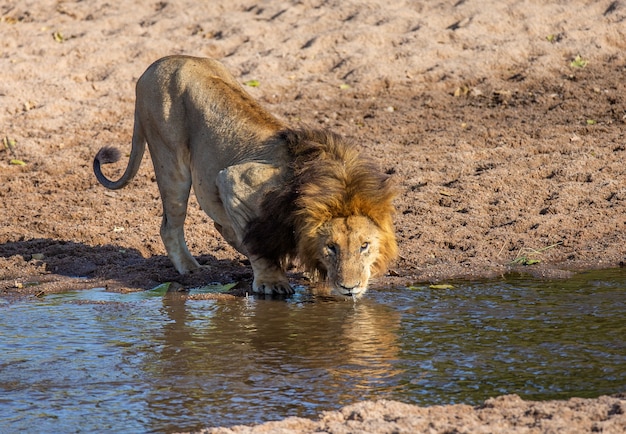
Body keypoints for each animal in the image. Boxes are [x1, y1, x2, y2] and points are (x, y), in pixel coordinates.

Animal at [92, 56, 394, 296]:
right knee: (171, 225)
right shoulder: (234, 180)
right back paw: (191, 268)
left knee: (219, 225)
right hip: (170, 161)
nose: (349, 287)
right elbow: (258, 246)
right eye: (331, 247)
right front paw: (273, 282)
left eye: (364, 246)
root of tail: (156, 64)